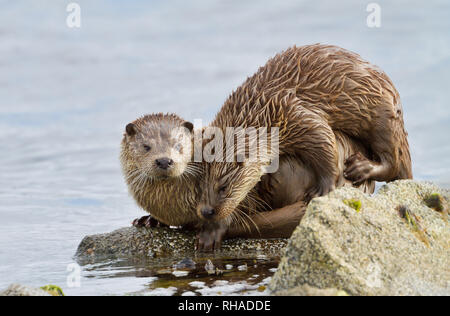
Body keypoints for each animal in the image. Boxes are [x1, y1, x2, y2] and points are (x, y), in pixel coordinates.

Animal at [197, 43, 412, 243]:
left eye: (223, 187)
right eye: (200, 186)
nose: (206, 211)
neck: (260, 109)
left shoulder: (295, 113)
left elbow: (324, 141)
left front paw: (323, 189)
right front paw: (212, 229)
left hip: (383, 116)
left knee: (394, 162)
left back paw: (361, 167)